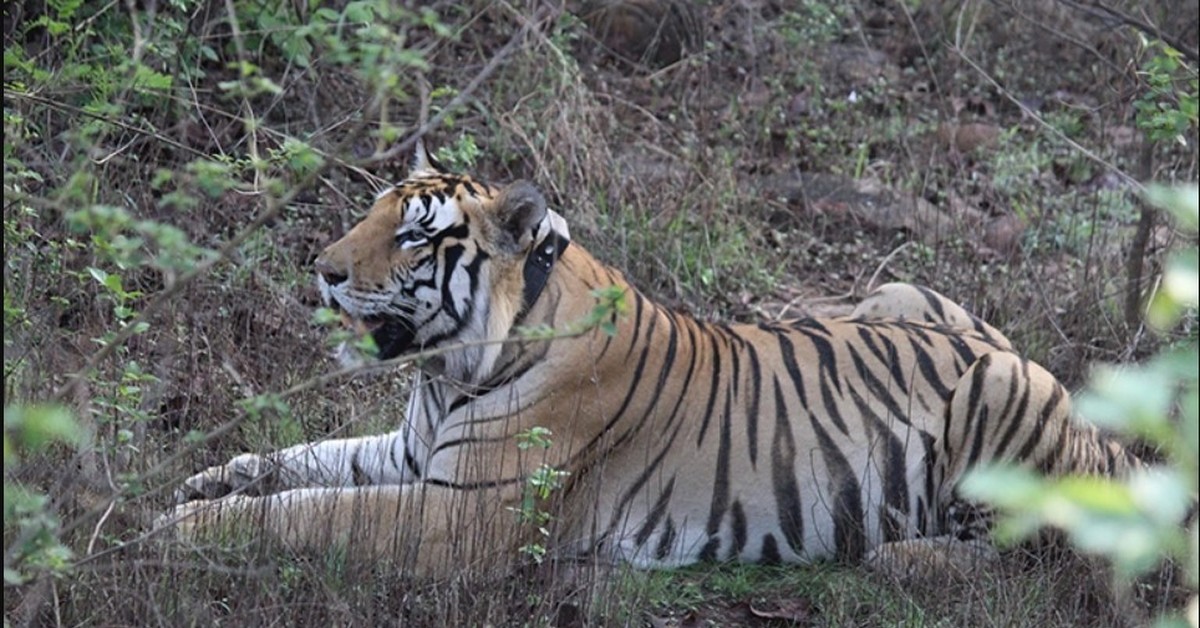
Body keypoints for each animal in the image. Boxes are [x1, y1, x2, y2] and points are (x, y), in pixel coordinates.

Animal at [159, 145, 1142, 578]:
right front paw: (208, 479)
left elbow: (312, 512)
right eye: (370, 211)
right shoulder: (409, 454)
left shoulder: (461, 516)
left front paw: (181, 528)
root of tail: (1100, 432)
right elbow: (305, 462)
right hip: (903, 294)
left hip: (1001, 389)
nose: (321, 269)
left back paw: (903, 560)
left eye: (411, 235)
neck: (448, 372)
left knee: (1046, 549)